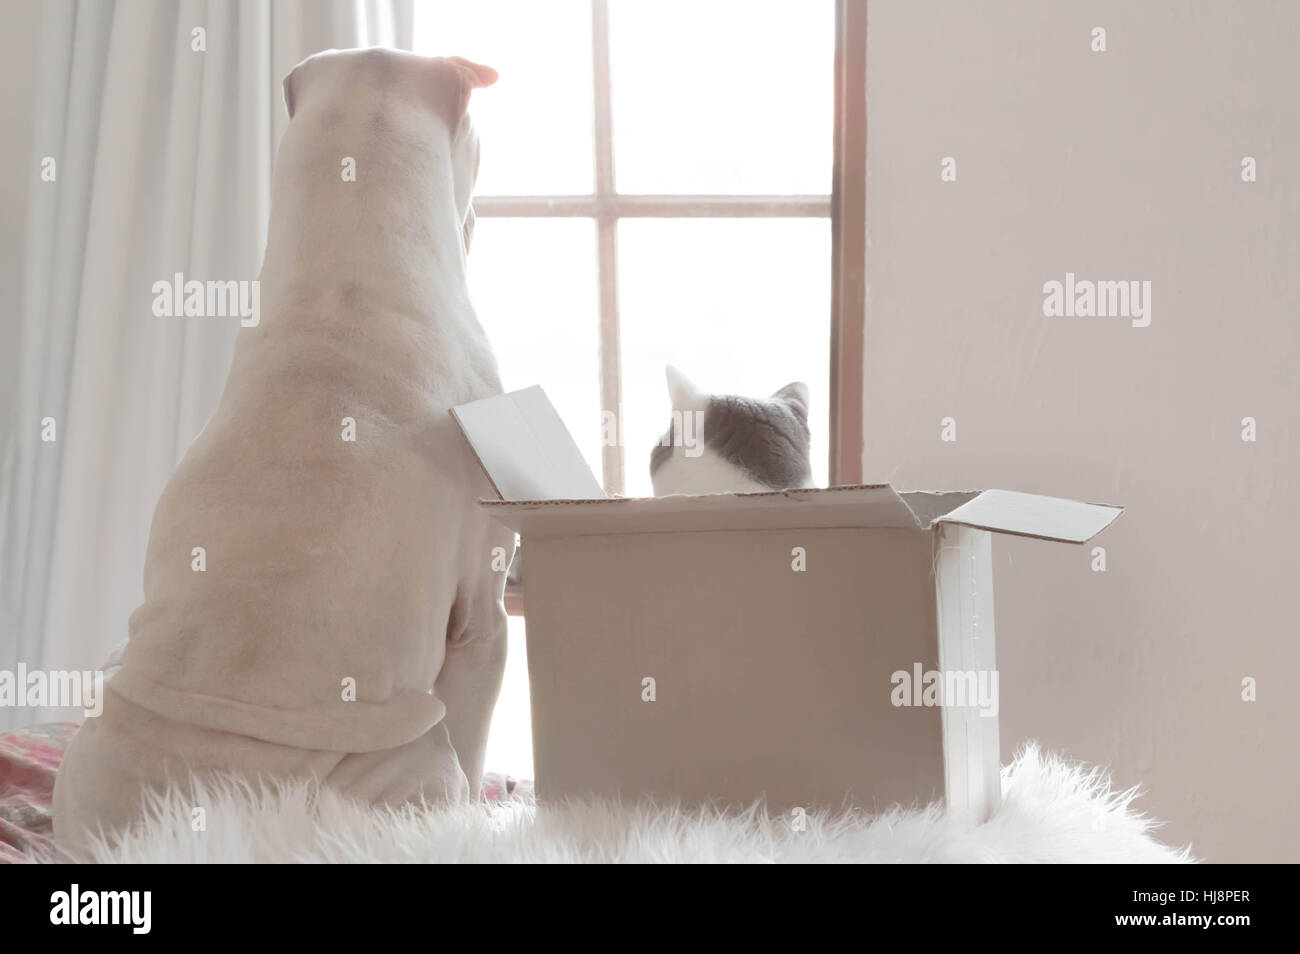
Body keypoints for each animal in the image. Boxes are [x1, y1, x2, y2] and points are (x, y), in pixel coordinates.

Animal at [55, 48, 514, 857]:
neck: (346, 292)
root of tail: (235, 812)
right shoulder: (483, 623)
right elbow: (478, 737)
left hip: (96, 711)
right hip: (412, 769)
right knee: (446, 772)